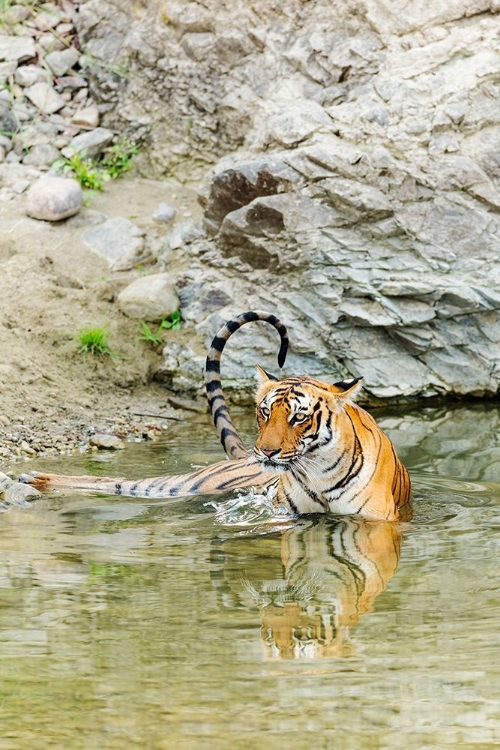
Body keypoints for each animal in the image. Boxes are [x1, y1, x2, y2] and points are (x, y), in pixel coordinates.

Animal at [19, 312, 412, 524]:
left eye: (299, 417)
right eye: (265, 412)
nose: (265, 453)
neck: (318, 472)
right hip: (182, 484)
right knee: (113, 482)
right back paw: (35, 478)